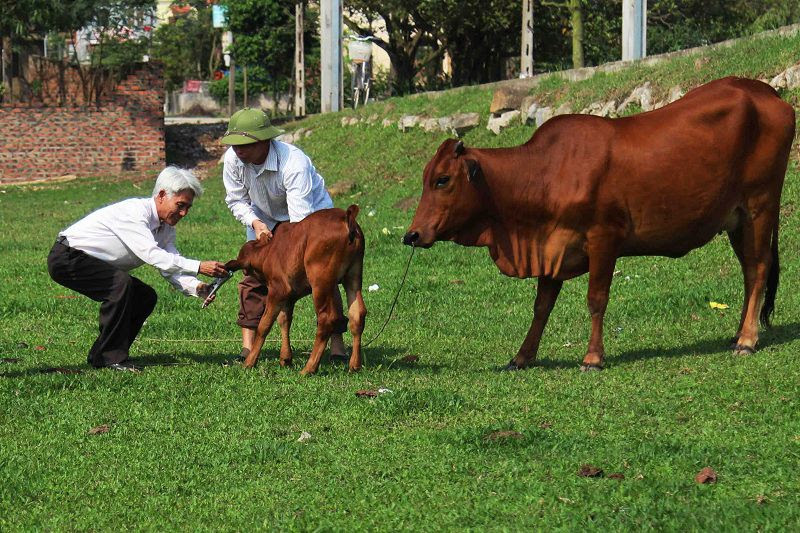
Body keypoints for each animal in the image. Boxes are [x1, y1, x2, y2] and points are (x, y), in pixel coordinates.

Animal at [223, 205, 364, 374]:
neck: (267, 251)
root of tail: (346, 217)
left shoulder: (277, 291)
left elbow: (264, 324)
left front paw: (250, 362)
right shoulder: (289, 297)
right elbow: (284, 320)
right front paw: (285, 358)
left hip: (321, 281)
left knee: (327, 319)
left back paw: (309, 368)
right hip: (354, 276)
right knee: (357, 314)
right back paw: (354, 365)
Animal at [406, 78, 792, 370]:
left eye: (442, 179)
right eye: (425, 177)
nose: (412, 234)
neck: (546, 172)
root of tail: (765, 91)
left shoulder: (605, 238)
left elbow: (596, 299)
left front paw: (592, 357)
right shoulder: (552, 247)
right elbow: (541, 306)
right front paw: (522, 356)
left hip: (760, 206)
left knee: (758, 268)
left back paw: (747, 339)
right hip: (736, 220)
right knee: (748, 272)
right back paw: (739, 332)